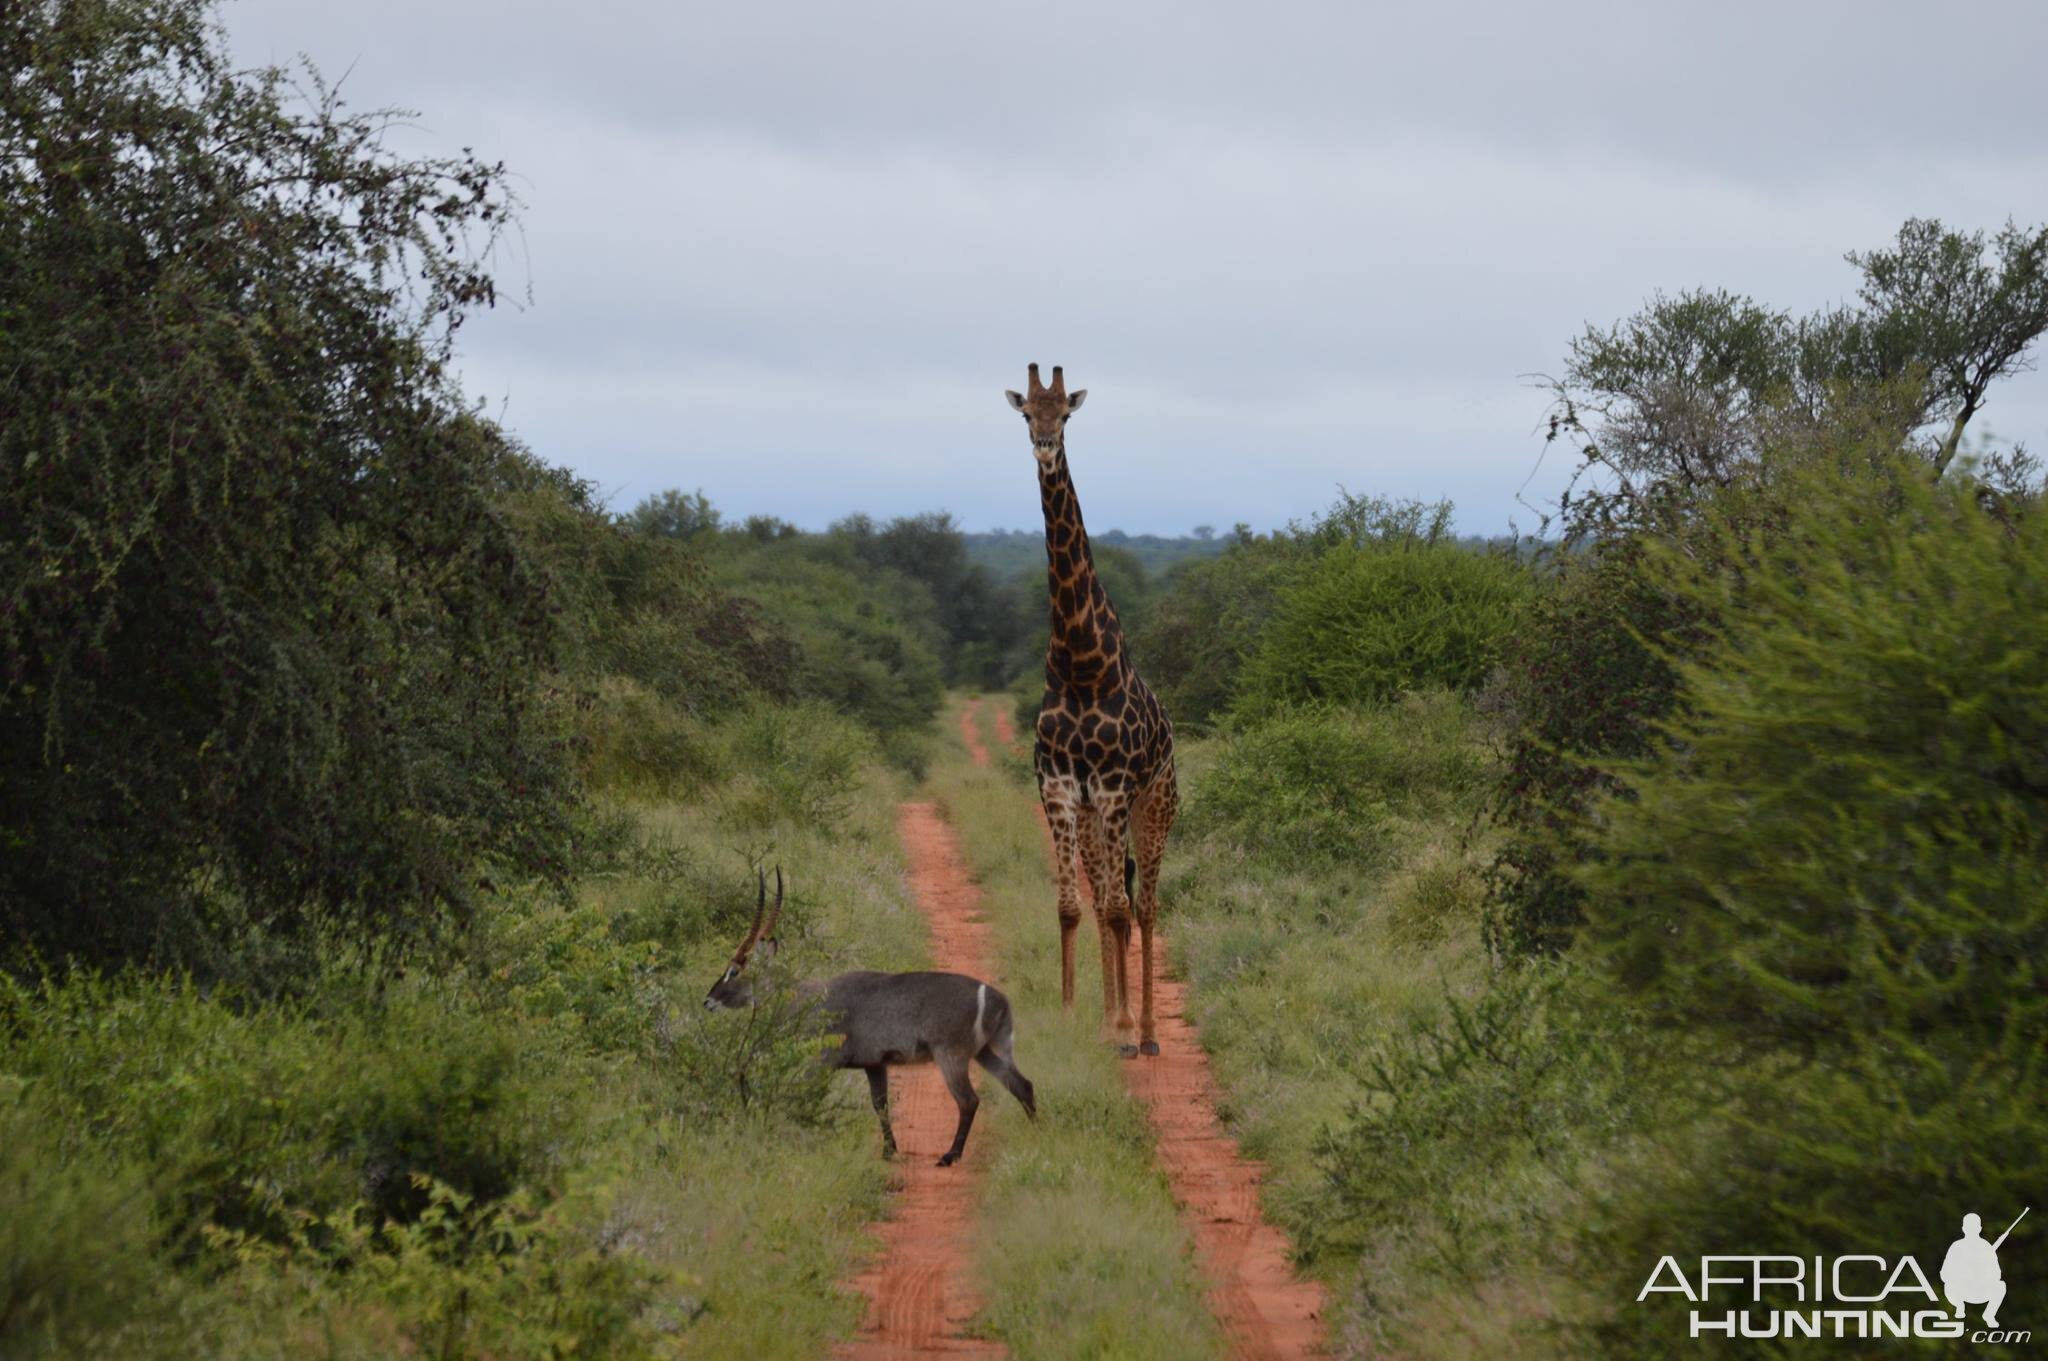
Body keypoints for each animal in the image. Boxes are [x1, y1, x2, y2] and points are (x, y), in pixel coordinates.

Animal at [999, 366, 1179, 1056]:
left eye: (1067, 415)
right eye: (1028, 413)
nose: (1045, 446)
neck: (1079, 664)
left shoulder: (1110, 788)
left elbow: (1119, 909)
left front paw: (1122, 1027)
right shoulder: (1058, 786)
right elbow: (1075, 907)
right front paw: (1080, 1013)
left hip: (1155, 806)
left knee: (1145, 905)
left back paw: (1146, 1031)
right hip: (1100, 813)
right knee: (1112, 901)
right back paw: (1115, 1018)